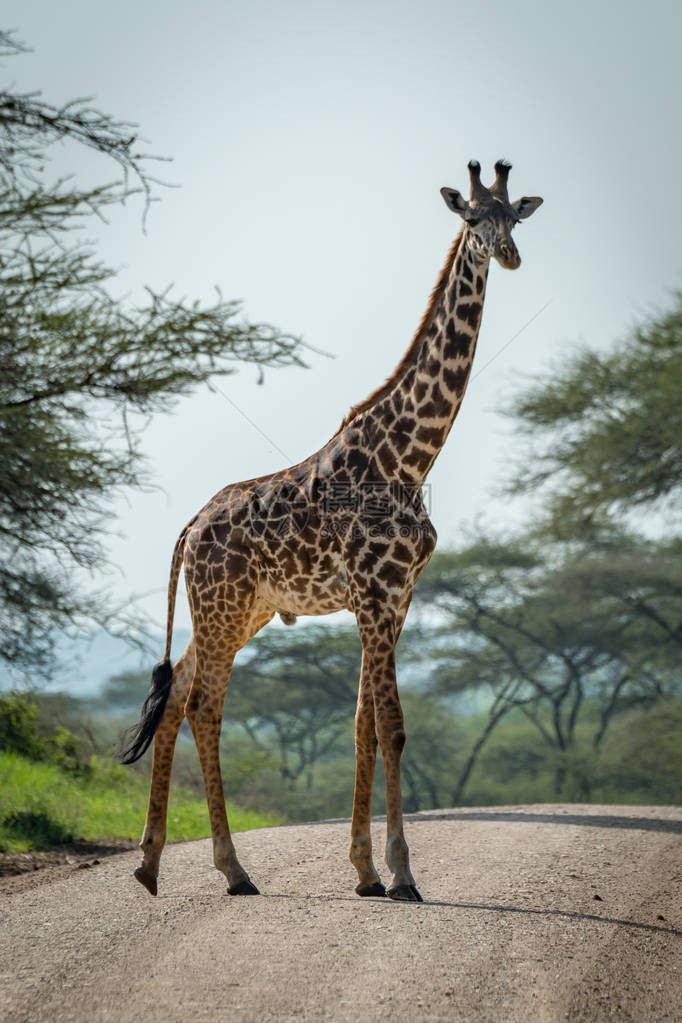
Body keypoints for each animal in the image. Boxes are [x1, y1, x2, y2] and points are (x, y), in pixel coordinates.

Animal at [120, 161, 539, 904]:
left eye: (514, 217)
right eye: (472, 219)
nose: (510, 255)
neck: (412, 457)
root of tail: (190, 528)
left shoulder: (398, 598)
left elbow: (364, 725)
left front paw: (367, 870)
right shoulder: (374, 594)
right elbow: (392, 727)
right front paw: (400, 873)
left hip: (237, 611)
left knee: (173, 703)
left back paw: (150, 864)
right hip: (223, 609)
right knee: (203, 706)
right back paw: (233, 870)